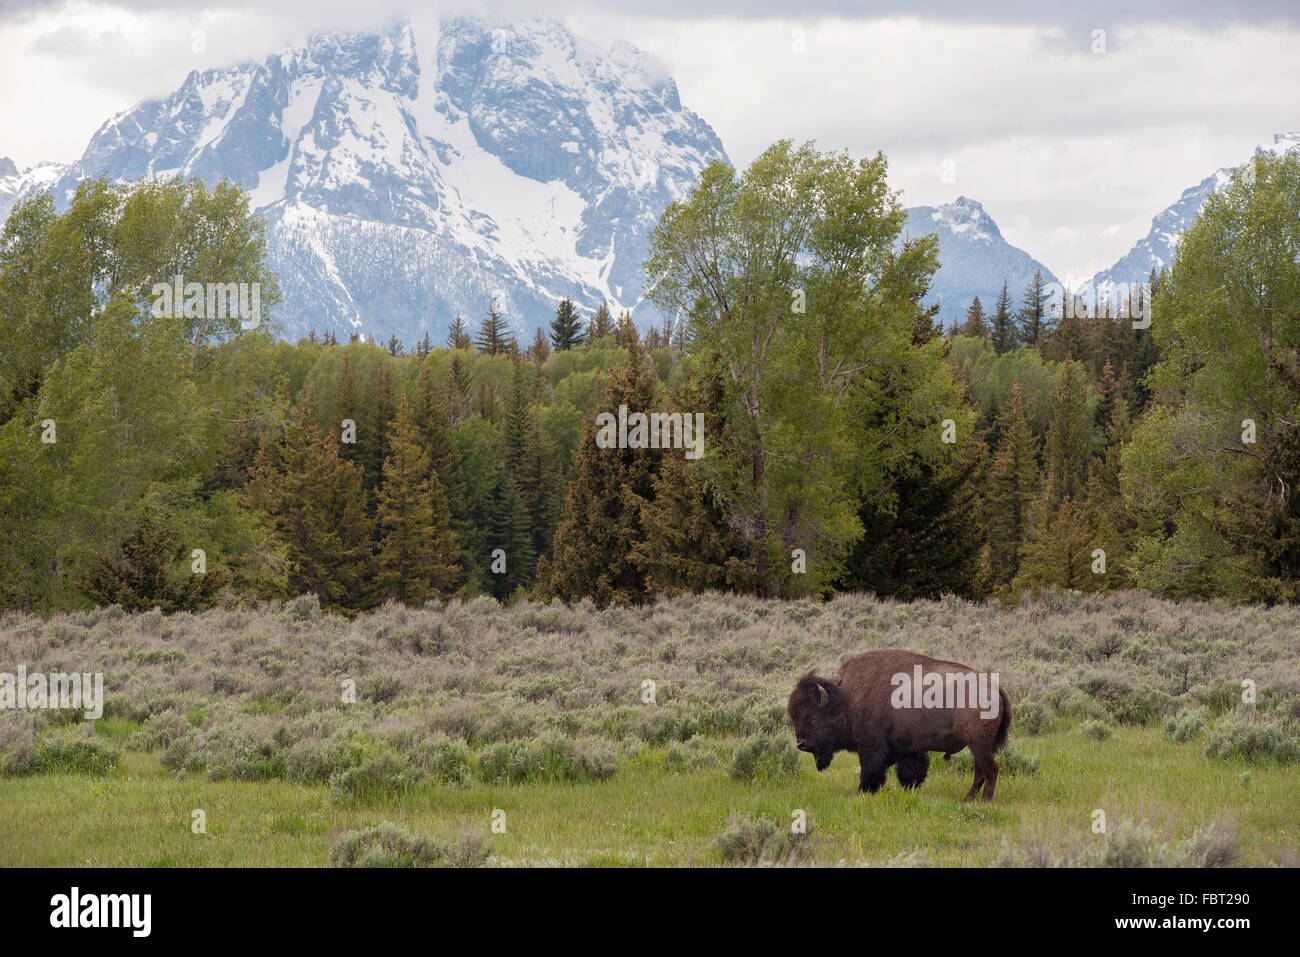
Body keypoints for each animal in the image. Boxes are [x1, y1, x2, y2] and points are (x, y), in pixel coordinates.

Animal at [785, 650, 1008, 800]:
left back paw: (984, 802)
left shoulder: (870, 746)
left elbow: (869, 770)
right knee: (981, 771)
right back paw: (967, 800)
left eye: (812, 718)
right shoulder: (909, 748)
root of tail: (995, 686)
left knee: (991, 770)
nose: (801, 744)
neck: (847, 698)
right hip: (979, 746)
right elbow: (910, 771)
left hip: (978, 744)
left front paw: (861, 793)